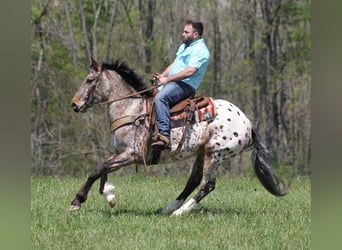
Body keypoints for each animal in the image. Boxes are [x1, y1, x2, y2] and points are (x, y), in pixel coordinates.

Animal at [69, 57, 288, 216]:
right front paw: (109, 195)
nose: (74, 104)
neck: (131, 109)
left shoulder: (133, 155)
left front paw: (77, 201)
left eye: (89, 80)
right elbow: (104, 170)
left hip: (215, 154)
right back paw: (168, 209)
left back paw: (180, 212)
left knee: (207, 185)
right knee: (193, 181)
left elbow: (97, 170)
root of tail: (248, 125)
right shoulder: (119, 153)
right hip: (201, 153)